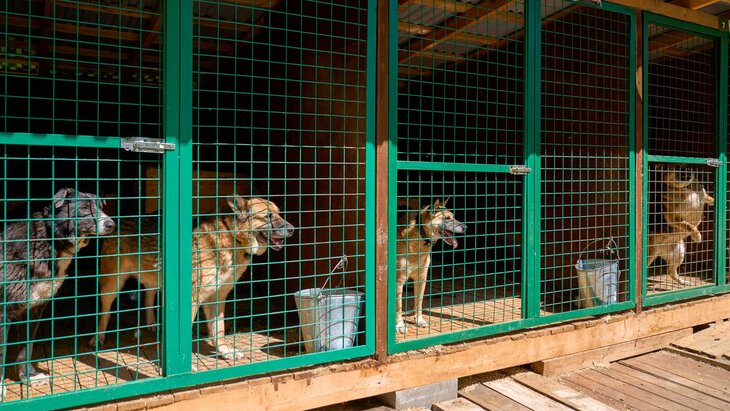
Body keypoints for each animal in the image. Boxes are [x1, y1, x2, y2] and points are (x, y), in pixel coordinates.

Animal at [0, 188, 115, 398]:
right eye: (84, 208)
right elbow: (1, 352)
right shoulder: (4, 312)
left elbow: (26, 348)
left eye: (100, 207)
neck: (47, 238)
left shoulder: (33, 309)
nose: (111, 224)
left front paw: (28, 377)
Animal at [395, 199, 466, 334]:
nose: (466, 227)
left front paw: (419, 320)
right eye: (447, 218)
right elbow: (398, 307)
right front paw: (400, 325)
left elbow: (419, 302)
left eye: (453, 216)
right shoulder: (398, 282)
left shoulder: (422, 278)